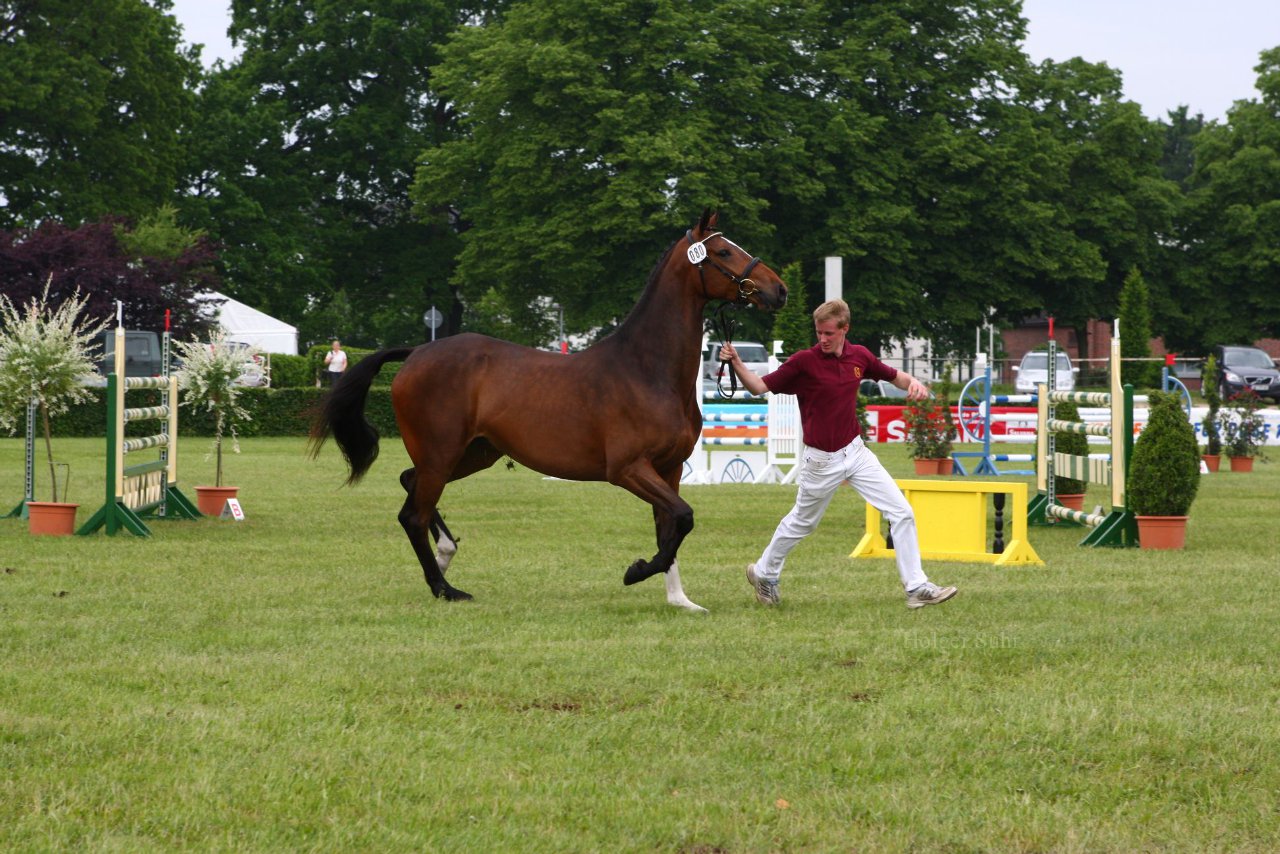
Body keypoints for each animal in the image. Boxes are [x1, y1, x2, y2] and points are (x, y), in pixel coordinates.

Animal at [311, 209, 788, 612]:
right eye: (723, 252)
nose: (779, 290)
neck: (646, 369)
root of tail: (416, 352)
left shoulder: (668, 469)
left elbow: (671, 526)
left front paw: (679, 600)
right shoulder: (628, 469)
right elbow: (683, 518)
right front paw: (635, 572)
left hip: (472, 453)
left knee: (411, 484)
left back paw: (446, 556)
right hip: (442, 453)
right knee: (413, 514)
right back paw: (445, 588)